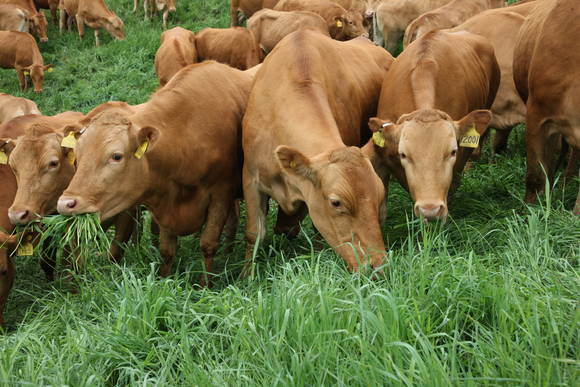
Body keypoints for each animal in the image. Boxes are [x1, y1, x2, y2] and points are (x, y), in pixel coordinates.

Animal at [55, 62, 253, 286]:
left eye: (116, 156)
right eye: (77, 155)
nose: (66, 203)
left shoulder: (221, 194)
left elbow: (208, 244)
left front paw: (205, 286)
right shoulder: (165, 200)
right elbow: (166, 251)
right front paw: (164, 280)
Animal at [242, 30, 392, 272]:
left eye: (379, 196)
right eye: (336, 202)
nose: (378, 265)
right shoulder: (250, 177)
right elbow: (254, 235)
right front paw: (247, 276)